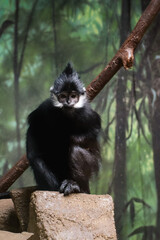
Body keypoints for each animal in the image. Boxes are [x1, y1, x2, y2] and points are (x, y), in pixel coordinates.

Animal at [26, 62, 101, 196]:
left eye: (73, 96)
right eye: (63, 96)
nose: (68, 102)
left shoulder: (87, 113)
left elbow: (93, 131)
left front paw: (67, 138)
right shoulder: (43, 110)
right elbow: (34, 152)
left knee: (75, 150)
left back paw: (77, 187)